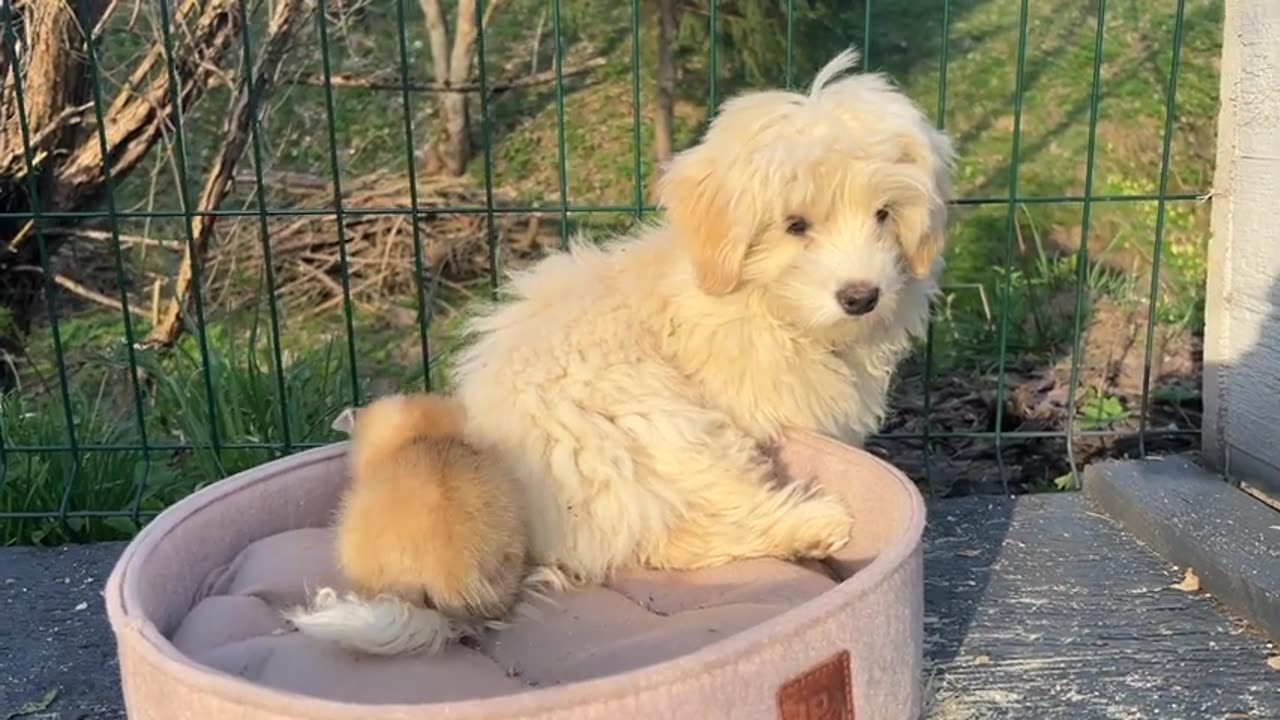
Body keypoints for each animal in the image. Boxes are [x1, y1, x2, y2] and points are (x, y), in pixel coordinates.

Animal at [453, 50, 952, 586]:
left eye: (883, 214)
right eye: (795, 225)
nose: (861, 296)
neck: (764, 305)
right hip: (663, 426)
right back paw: (812, 524)